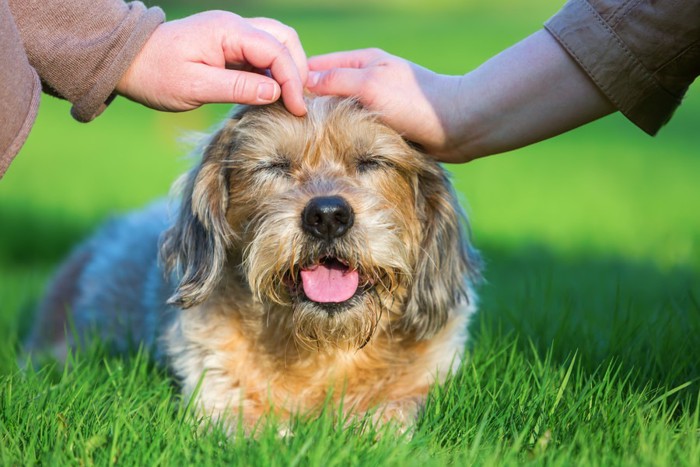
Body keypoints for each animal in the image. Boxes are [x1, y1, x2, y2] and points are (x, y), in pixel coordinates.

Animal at [27, 96, 482, 436]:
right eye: (274, 166)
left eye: (371, 162)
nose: (328, 215)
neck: (321, 346)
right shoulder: (217, 392)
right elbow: (257, 433)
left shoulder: (421, 385)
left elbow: (388, 415)